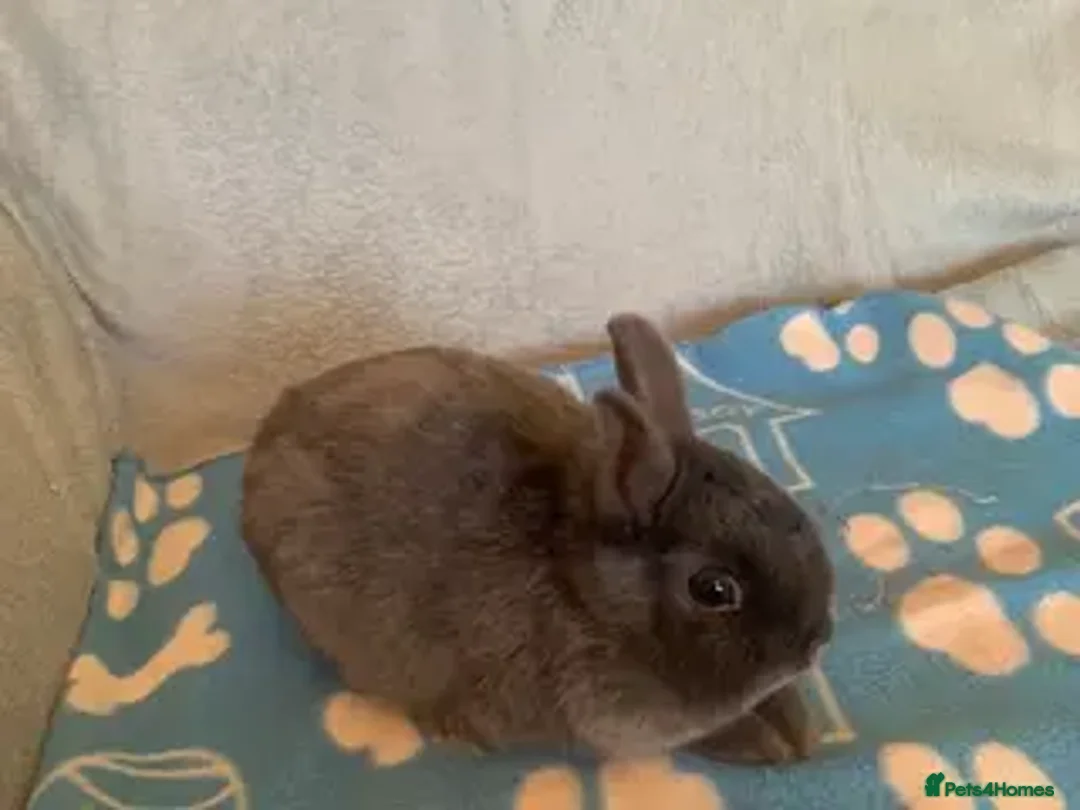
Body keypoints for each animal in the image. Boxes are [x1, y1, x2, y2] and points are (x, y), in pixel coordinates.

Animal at [240, 312, 836, 765]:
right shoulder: (617, 720)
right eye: (713, 589)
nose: (816, 641)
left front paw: (797, 724)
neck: (589, 593)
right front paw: (770, 741)